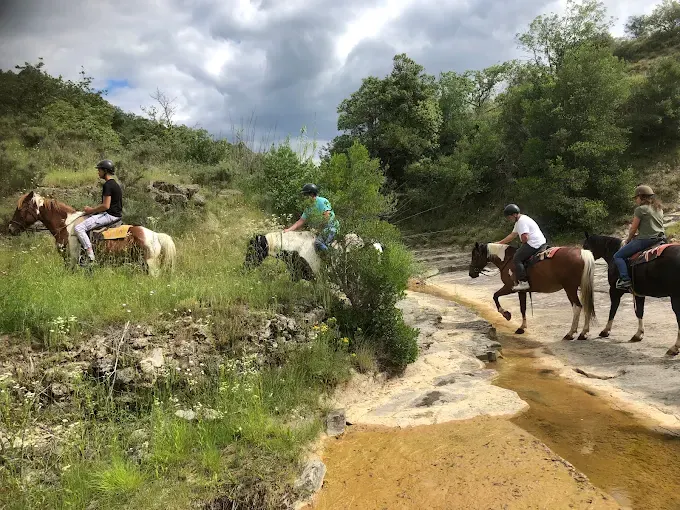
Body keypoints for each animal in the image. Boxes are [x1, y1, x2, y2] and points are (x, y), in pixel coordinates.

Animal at [8, 191, 176, 276]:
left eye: (20, 209)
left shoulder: (71, 260)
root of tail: (155, 235)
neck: (66, 226)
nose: (10, 228)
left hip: (150, 265)